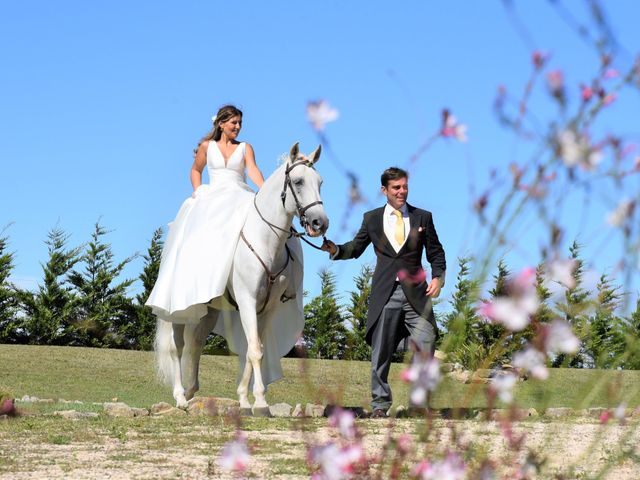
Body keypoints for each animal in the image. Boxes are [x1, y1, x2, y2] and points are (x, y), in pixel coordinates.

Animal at [153, 142, 328, 412]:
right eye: (298, 181)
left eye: (320, 182)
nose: (320, 223)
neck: (265, 241)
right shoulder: (247, 302)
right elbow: (255, 350)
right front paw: (261, 402)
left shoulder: (266, 309)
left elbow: (253, 349)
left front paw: (246, 399)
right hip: (177, 311)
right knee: (177, 347)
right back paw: (180, 396)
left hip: (210, 310)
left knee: (196, 344)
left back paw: (192, 391)